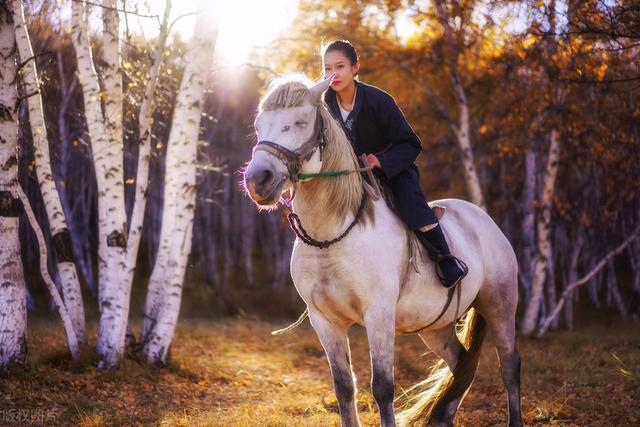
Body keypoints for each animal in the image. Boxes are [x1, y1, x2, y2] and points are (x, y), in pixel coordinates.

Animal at [242, 77, 524, 427]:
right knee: (461, 365)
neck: (332, 236)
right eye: (258, 126)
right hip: (435, 327)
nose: (258, 180)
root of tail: (485, 220)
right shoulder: (325, 321)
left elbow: (382, 388)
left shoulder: (378, 315)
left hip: (500, 305)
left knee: (509, 366)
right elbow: (344, 387)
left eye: (299, 123)